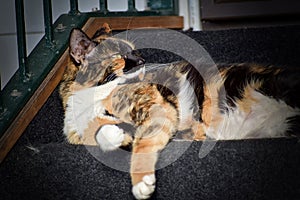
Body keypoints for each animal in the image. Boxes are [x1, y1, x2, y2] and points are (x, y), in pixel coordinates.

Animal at [62, 27, 298, 199]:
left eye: (136, 52)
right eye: (119, 55)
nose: (142, 61)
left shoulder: (158, 107)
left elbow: (142, 145)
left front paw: (141, 183)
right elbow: (101, 131)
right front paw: (112, 135)